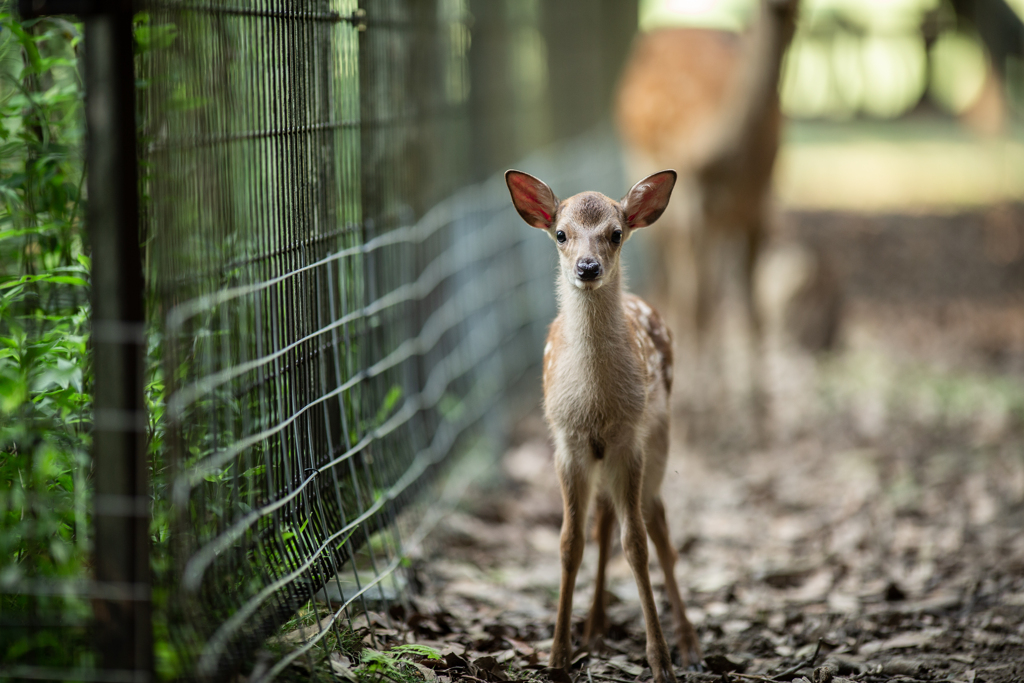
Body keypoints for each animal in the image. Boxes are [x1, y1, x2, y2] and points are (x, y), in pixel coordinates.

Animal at [614, 0, 798, 428]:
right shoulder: (692, 209)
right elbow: (699, 307)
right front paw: (700, 410)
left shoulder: (758, 207)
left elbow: (751, 309)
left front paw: (759, 409)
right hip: (645, 183)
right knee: (679, 286)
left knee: (707, 290)